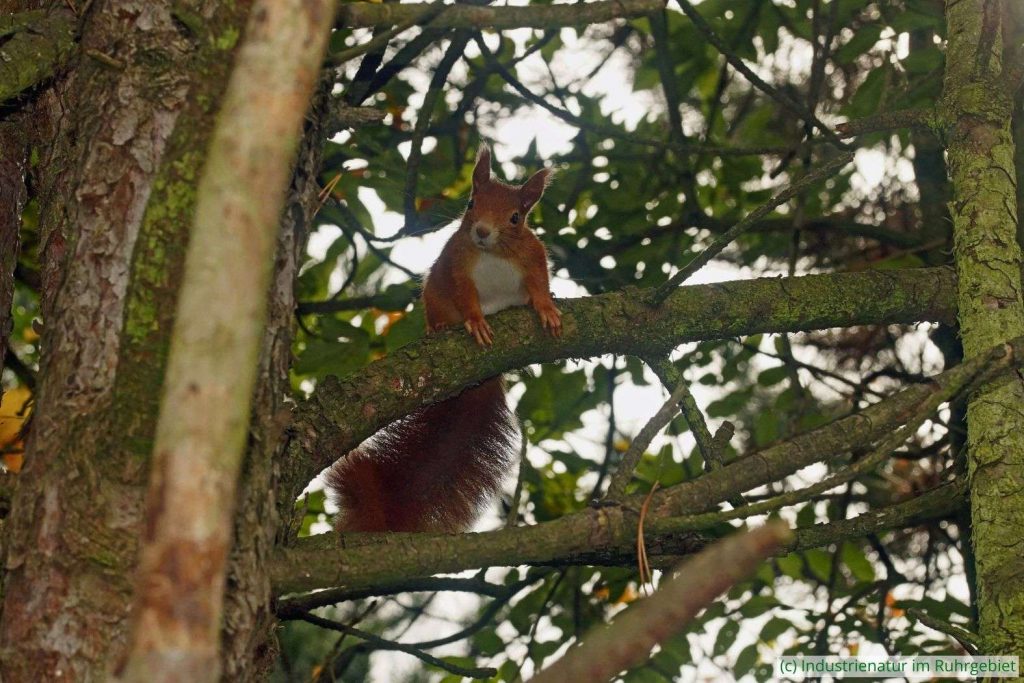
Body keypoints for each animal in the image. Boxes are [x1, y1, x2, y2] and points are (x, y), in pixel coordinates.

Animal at [325, 146, 561, 533]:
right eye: (471, 202)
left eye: (515, 218)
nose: (481, 231)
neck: (493, 254)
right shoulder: (456, 265)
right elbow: (466, 298)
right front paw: (476, 321)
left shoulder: (533, 257)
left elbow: (539, 284)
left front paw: (546, 308)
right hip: (434, 294)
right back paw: (436, 329)